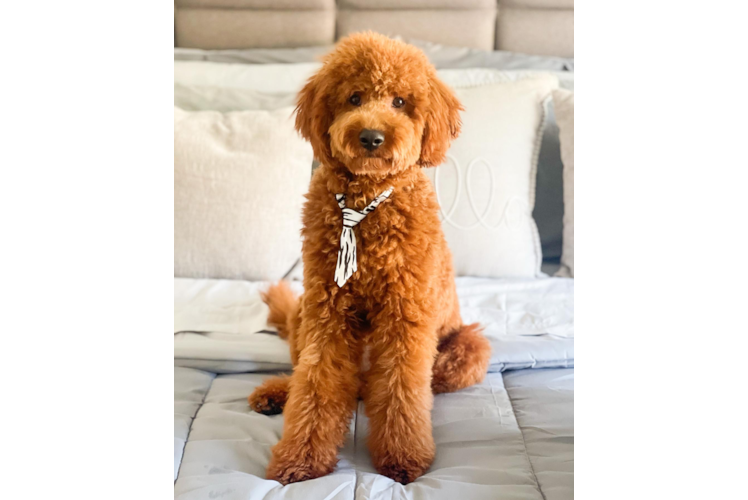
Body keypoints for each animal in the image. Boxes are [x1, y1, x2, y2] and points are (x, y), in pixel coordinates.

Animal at [247, 32, 490, 484]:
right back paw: (276, 393)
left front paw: (403, 458)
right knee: (306, 374)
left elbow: (400, 390)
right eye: (354, 98)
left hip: (466, 349)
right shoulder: (327, 313)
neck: (365, 205)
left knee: (408, 381)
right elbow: (316, 383)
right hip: (303, 313)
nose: (372, 137)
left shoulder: (405, 317)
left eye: (400, 101)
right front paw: (300, 459)